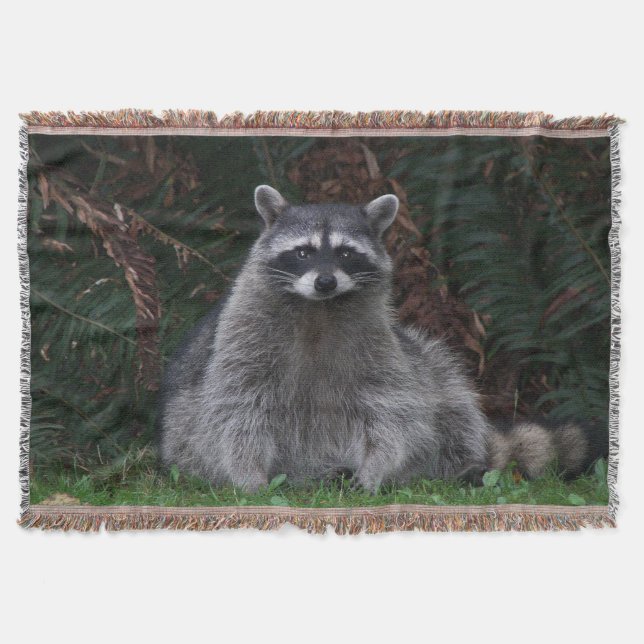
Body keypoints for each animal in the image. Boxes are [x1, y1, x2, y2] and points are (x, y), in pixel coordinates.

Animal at [158, 186, 606, 492]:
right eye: (303, 252)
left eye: (345, 253)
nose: (325, 282)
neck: (319, 309)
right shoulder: (242, 337)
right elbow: (237, 406)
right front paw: (248, 475)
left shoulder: (379, 339)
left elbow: (390, 407)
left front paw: (375, 469)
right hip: (187, 431)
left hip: (419, 358)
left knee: (447, 394)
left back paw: (454, 466)